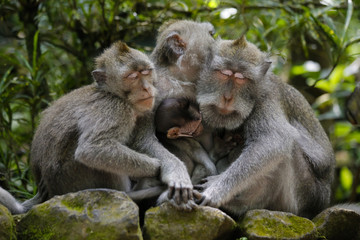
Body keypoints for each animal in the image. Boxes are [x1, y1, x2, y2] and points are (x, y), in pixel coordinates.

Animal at [0, 40, 162, 214]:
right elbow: (92, 149)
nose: (146, 88)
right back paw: (132, 191)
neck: (112, 93)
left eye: (145, 72)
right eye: (132, 76)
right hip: (73, 177)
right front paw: (156, 167)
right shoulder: (115, 109)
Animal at [195, 36, 336, 218]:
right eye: (224, 73)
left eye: (241, 78)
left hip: (304, 196)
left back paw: (242, 204)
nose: (227, 97)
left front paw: (215, 190)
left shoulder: (266, 98)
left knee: (288, 145)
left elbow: (274, 140)